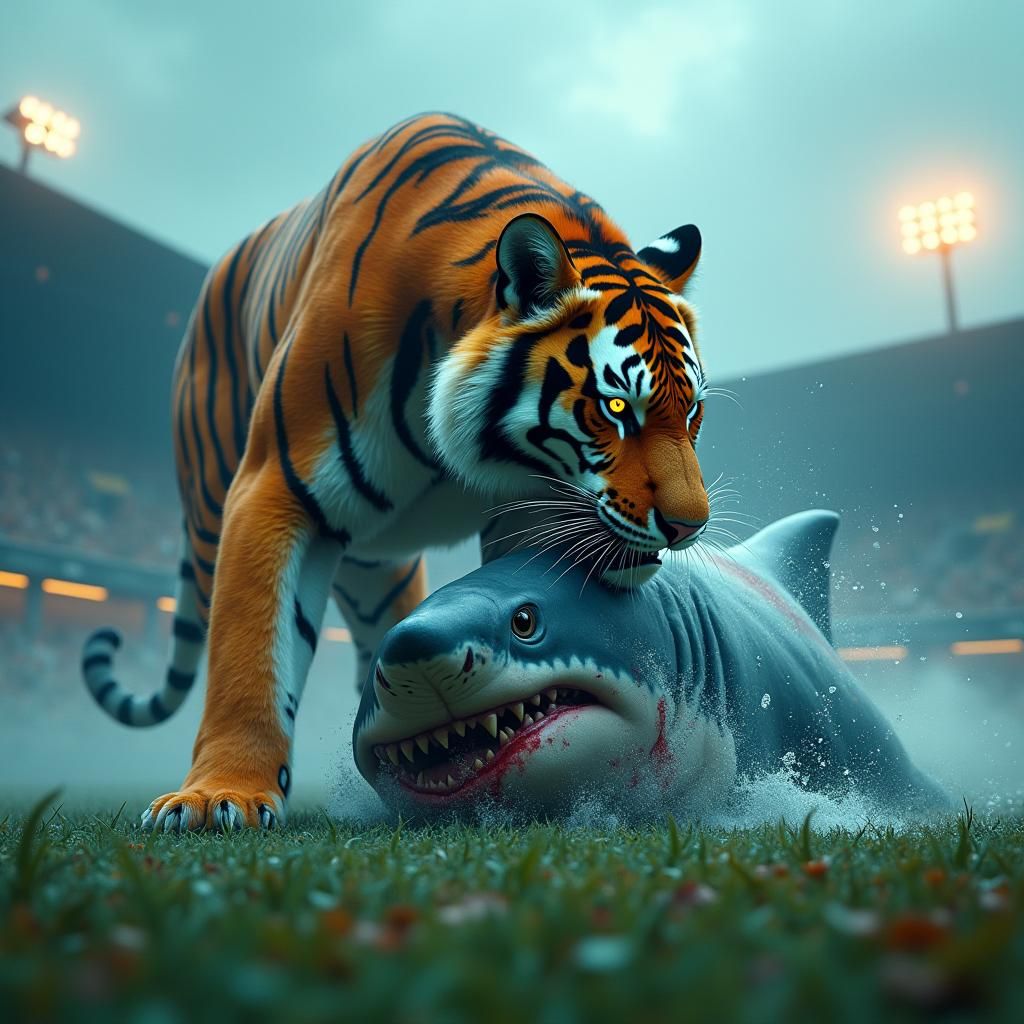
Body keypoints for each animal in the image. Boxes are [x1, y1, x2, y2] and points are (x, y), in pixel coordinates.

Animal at [81, 112, 712, 831]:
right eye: (616, 408)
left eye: (691, 410)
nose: (690, 525)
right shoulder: (275, 484)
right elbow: (250, 650)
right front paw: (219, 797)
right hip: (214, 500)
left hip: (377, 573)